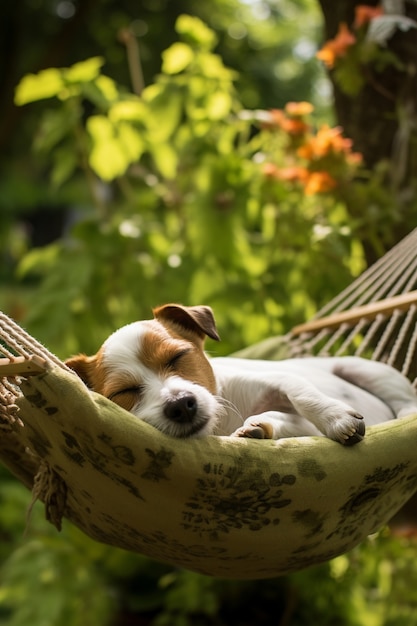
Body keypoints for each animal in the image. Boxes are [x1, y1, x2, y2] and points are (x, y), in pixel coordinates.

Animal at [64, 304, 416, 442]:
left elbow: (302, 395)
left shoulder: (276, 379)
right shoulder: (299, 428)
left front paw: (337, 419)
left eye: (178, 356)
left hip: (365, 369)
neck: (222, 424)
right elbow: (285, 421)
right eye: (124, 393)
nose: (181, 405)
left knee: (405, 397)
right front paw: (258, 428)